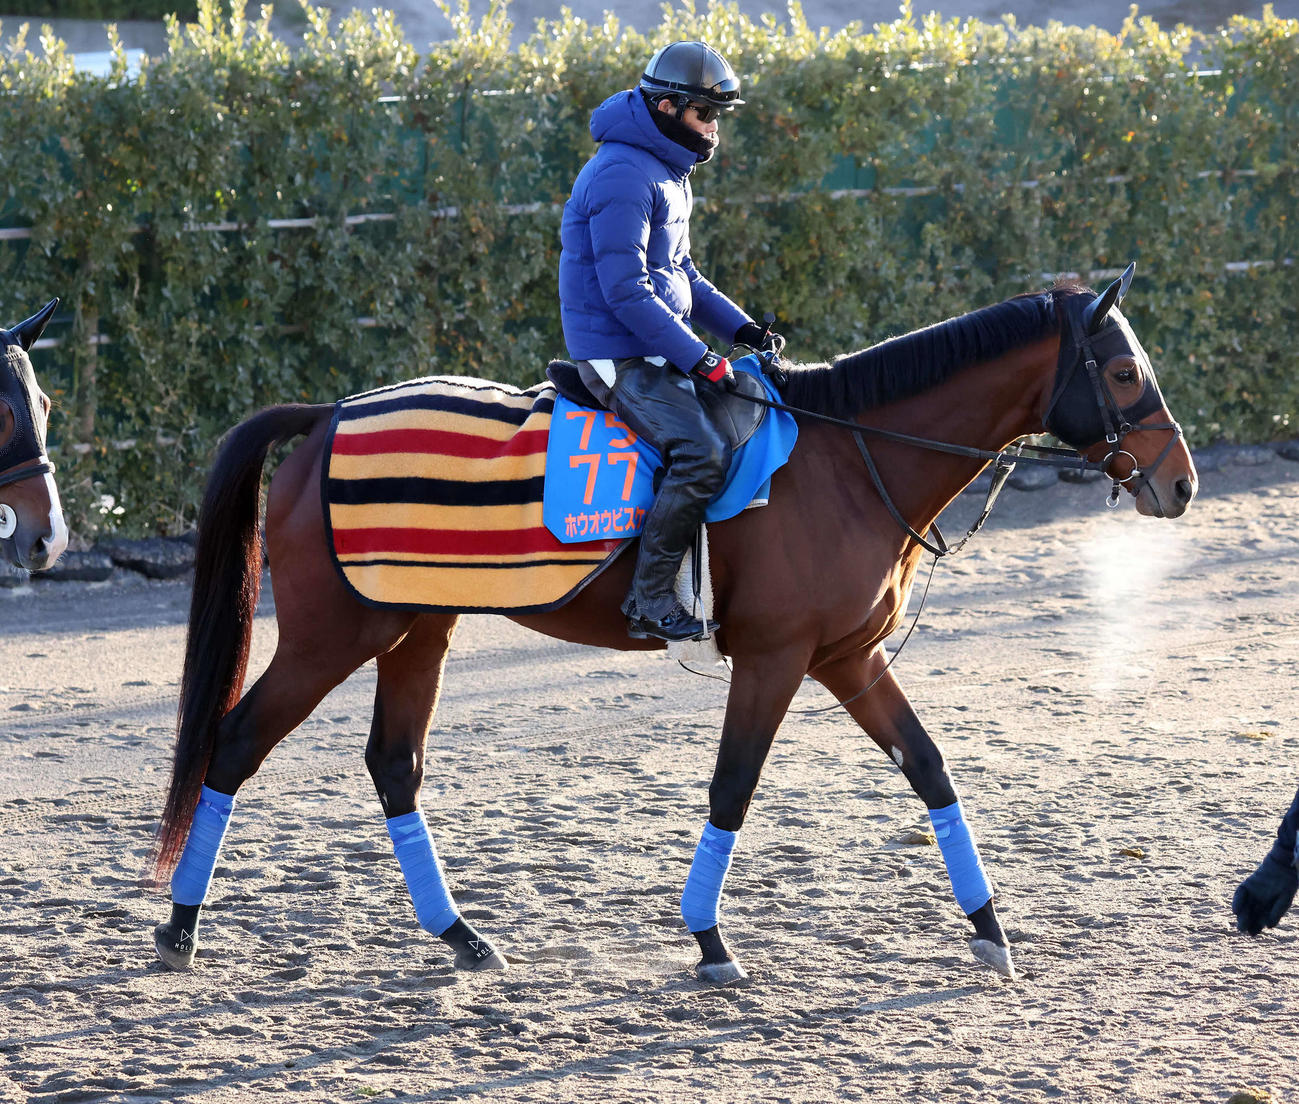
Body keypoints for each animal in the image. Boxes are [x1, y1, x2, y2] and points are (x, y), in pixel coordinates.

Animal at [150, 265, 1197, 984]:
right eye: (1119, 370)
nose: (1179, 482)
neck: (845, 460)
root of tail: (328, 415)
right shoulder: (775, 658)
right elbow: (733, 787)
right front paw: (709, 939)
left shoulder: (849, 657)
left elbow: (930, 768)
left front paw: (988, 928)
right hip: (337, 636)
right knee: (234, 743)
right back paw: (180, 927)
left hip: (418, 630)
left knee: (392, 765)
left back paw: (461, 935)